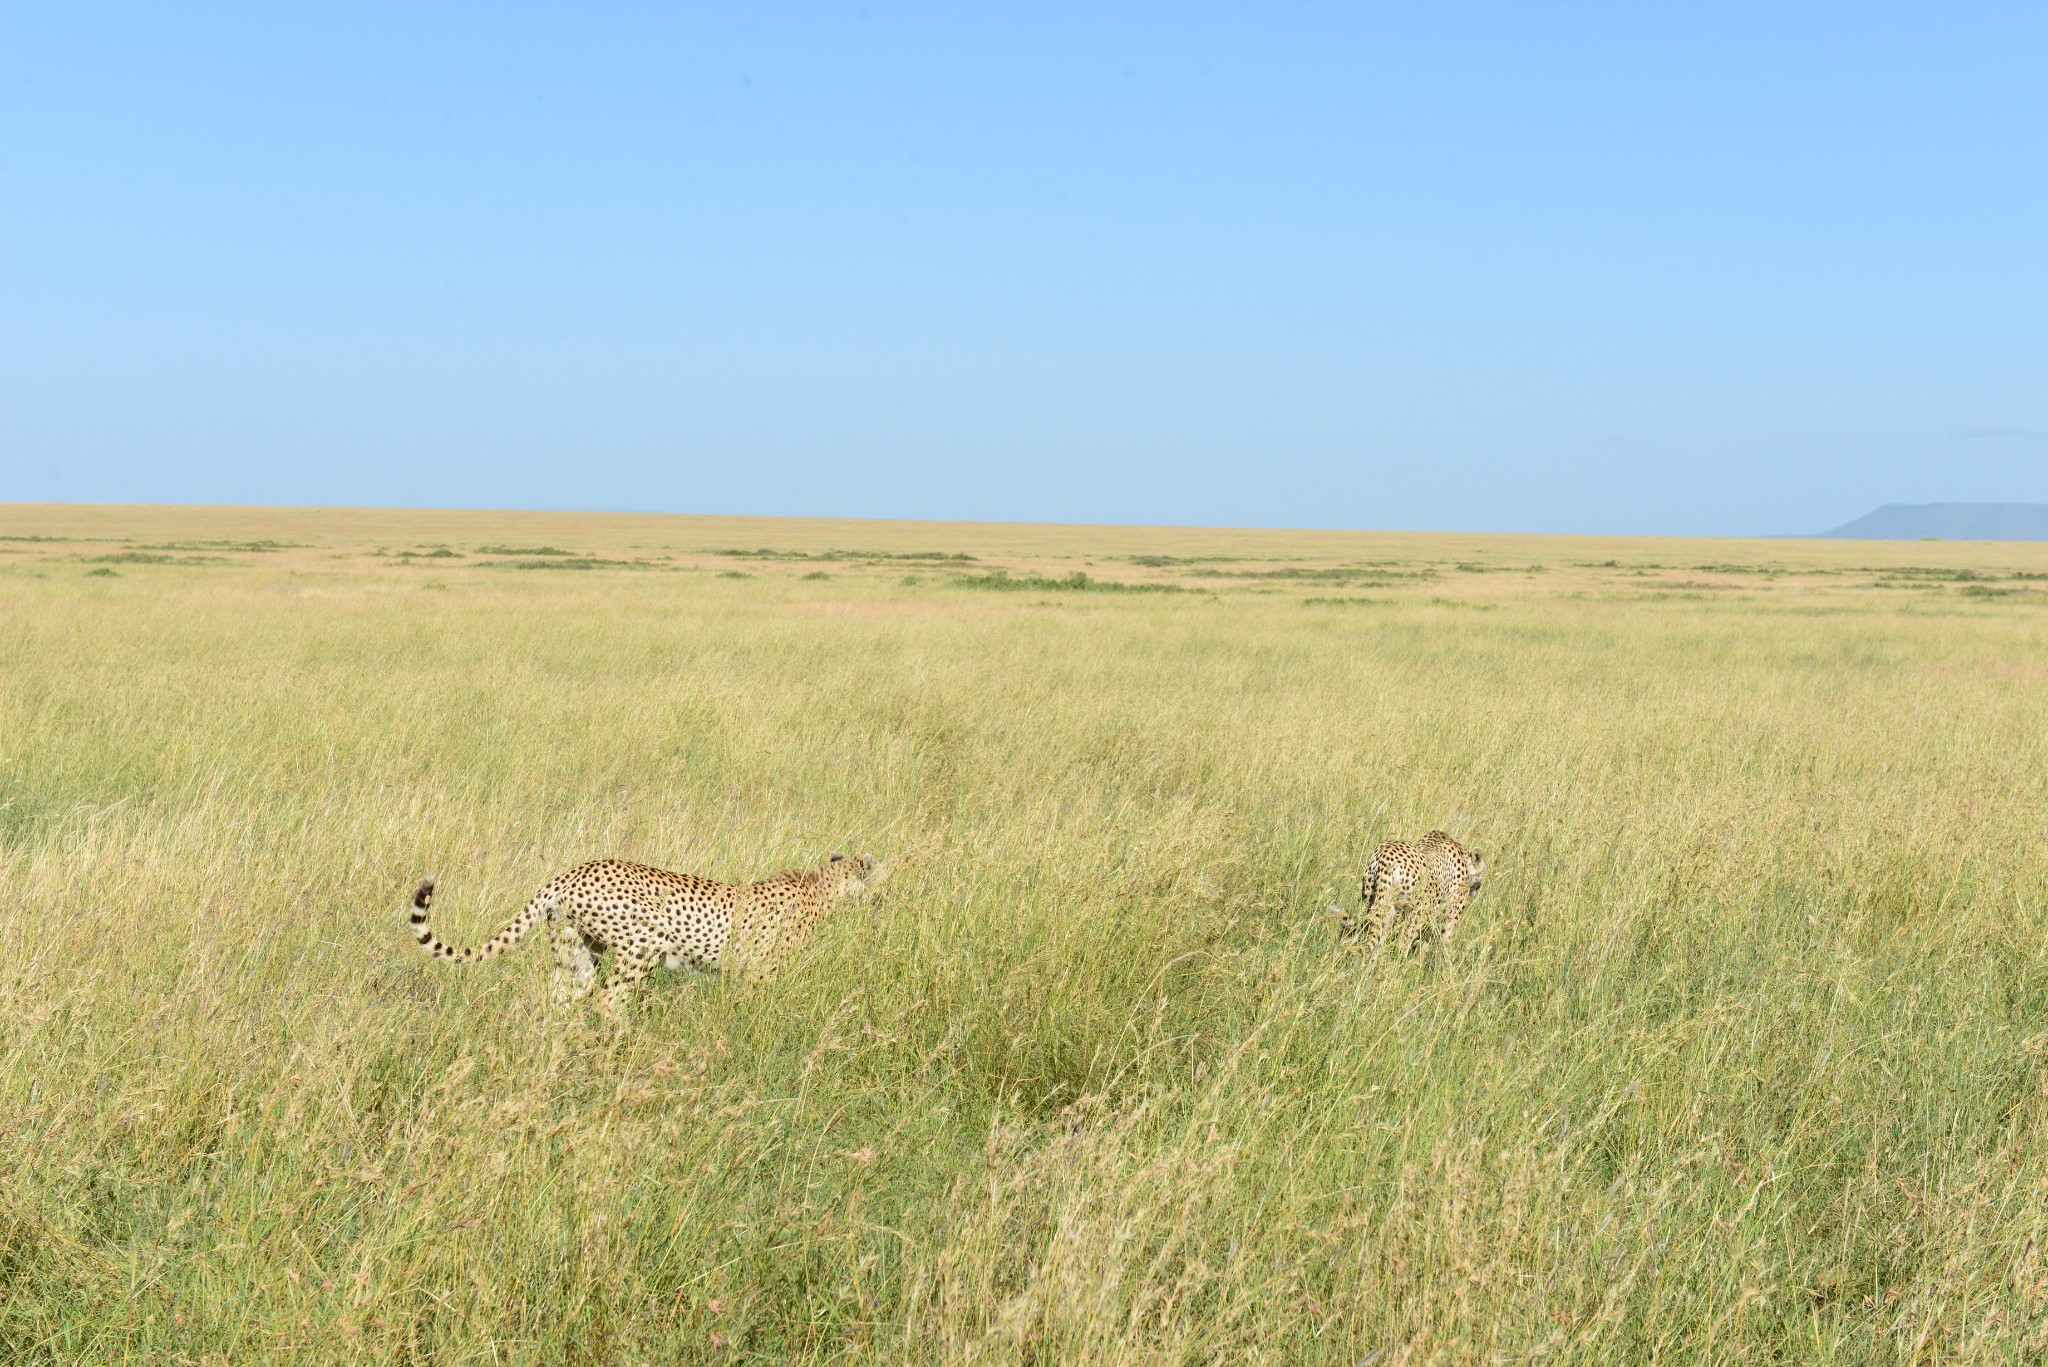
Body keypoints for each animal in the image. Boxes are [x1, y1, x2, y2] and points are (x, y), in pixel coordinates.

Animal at [409, 848, 880, 1020]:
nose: (881, 901)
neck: (822, 886)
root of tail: (572, 872)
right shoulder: (758, 973)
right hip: (644, 942)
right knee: (608, 1001)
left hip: (576, 955)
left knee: (561, 998)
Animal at [1335, 827, 1482, 959]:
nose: (1478, 888)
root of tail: (1383, 857)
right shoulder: (1450, 913)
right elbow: (1446, 940)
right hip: (1418, 911)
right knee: (1403, 940)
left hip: (1372, 901)